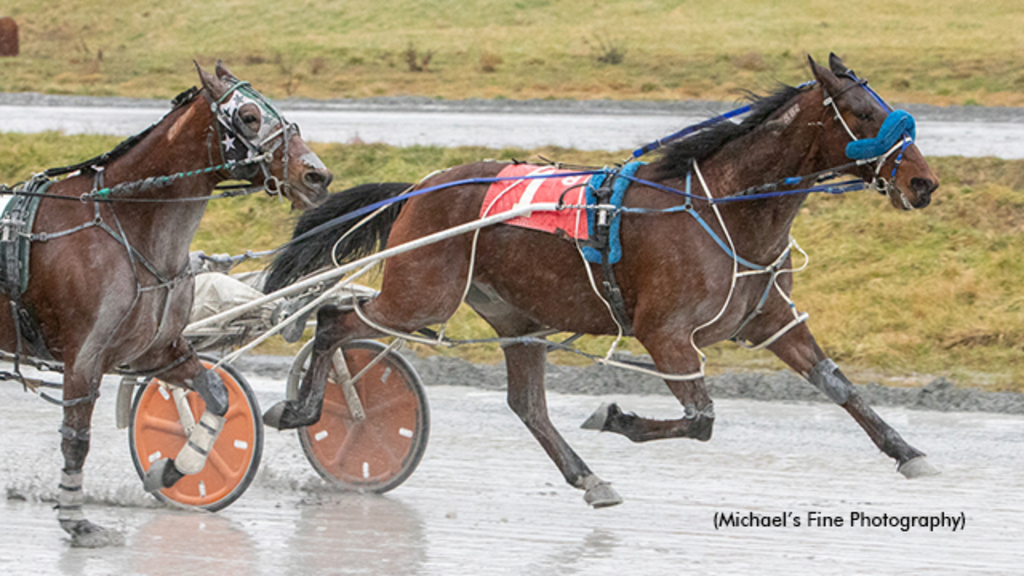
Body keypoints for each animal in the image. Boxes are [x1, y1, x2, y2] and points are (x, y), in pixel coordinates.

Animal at [0, 61, 327, 541]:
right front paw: (76, 518)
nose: (317, 175)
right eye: (248, 116)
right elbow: (76, 439)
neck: (125, 225)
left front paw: (173, 469)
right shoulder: (84, 360)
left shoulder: (157, 352)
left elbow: (217, 397)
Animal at [262, 54, 937, 506]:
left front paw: (908, 453)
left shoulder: (770, 319)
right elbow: (701, 418)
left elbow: (838, 384)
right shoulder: (665, 332)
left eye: (887, 106)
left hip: (517, 316)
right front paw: (615, 417)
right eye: (862, 112)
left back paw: (588, 477)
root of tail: (420, 187)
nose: (923, 183)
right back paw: (300, 409)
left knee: (527, 404)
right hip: (418, 294)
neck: (723, 207)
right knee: (335, 318)